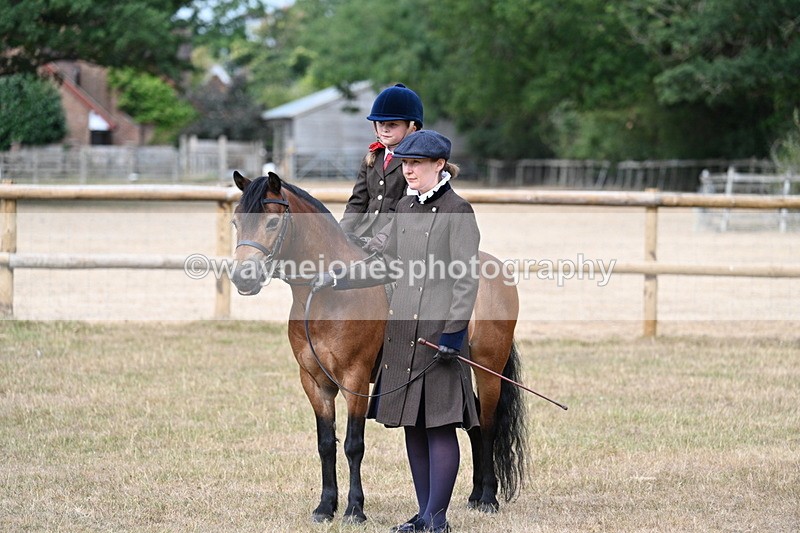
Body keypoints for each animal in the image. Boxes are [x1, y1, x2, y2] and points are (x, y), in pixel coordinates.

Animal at [229, 171, 527, 524]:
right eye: (236, 222)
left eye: (273, 222)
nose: (243, 277)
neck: (326, 297)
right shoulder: (315, 382)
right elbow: (326, 443)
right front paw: (325, 507)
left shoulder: (355, 379)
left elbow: (353, 444)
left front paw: (354, 509)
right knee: (475, 425)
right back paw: (474, 495)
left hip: (489, 369)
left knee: (489, 425)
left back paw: (488, 499)